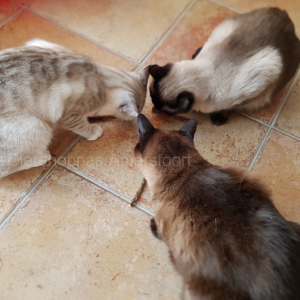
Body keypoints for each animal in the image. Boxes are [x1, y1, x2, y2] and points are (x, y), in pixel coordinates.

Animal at [0, 40, 149, 179]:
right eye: (131, 116)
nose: (130, 120)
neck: (101, 77)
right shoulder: (68, 115)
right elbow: (83, 126)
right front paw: (93, 131)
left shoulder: (40, 43)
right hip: (37, 126)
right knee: (6, 168)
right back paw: (42, 156)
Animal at [149, 7, 300, 124]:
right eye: (152, 97)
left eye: (163, 109)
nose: (155, 107)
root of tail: (286, 16)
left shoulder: (260, 82)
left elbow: (232, 107)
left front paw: (218, 118)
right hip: (225, 27)